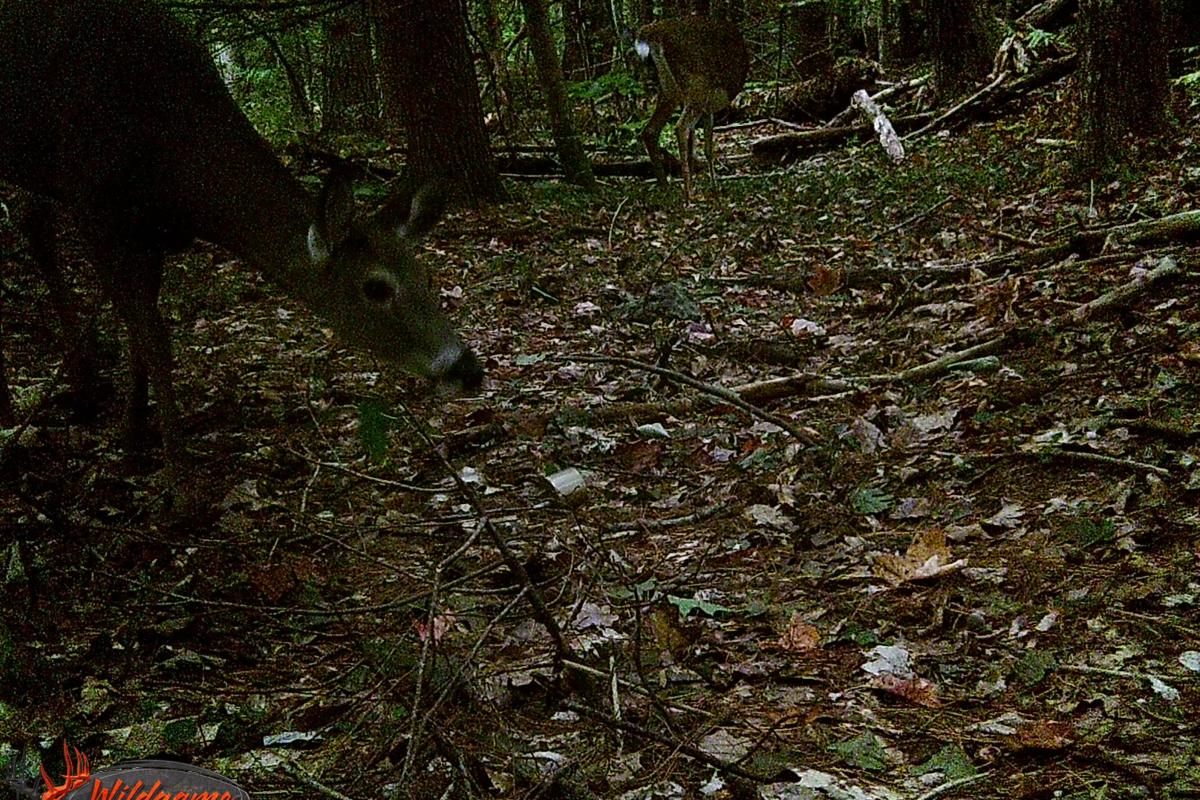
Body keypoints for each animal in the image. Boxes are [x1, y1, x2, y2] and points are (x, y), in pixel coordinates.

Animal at [0, 0, 483, 473]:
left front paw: (134, 437)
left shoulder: (150, 231)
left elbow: (139, 330)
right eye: (377, 287)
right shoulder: (93, 203)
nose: (469, 369)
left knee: (34, 227)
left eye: (425, 276)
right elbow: (153, 337)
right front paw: (179, 483)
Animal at [634, 17, 749, 200]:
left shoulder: (707, 108)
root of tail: (651, 34)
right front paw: (714, 187)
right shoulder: (707, 103)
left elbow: (701, 148)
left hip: (670, 90)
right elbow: (707, 147)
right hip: (696, 86)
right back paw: (688, 193)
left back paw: (665, 186)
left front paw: (709, 185)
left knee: (650, 130)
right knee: (680, 127)